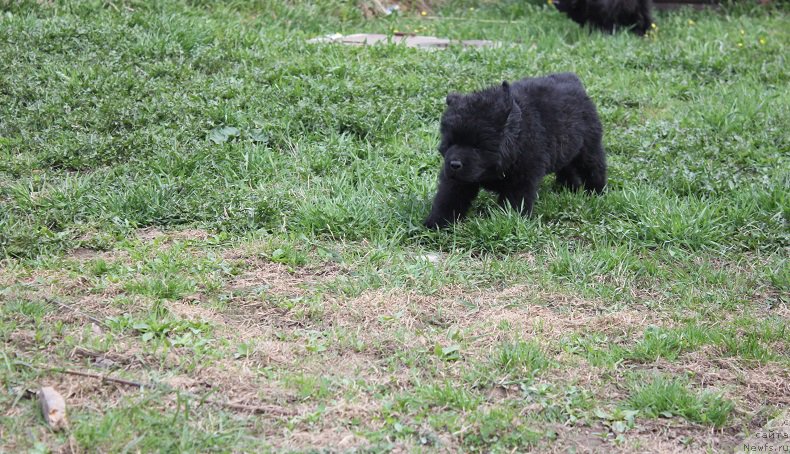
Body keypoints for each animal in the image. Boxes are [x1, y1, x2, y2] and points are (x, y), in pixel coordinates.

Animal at [426, 75, 608, 231]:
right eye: (450, 143)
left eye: (477, 146)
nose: (454, 164)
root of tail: (573, 79)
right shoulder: (458, 180)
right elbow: (449, 198)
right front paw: (436, 223)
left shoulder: (521, 179)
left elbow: (514, 202)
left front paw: (509, 221)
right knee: (567, 168)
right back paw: (567, 187)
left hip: (588, 148)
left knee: (594, 168)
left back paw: (596, 192)